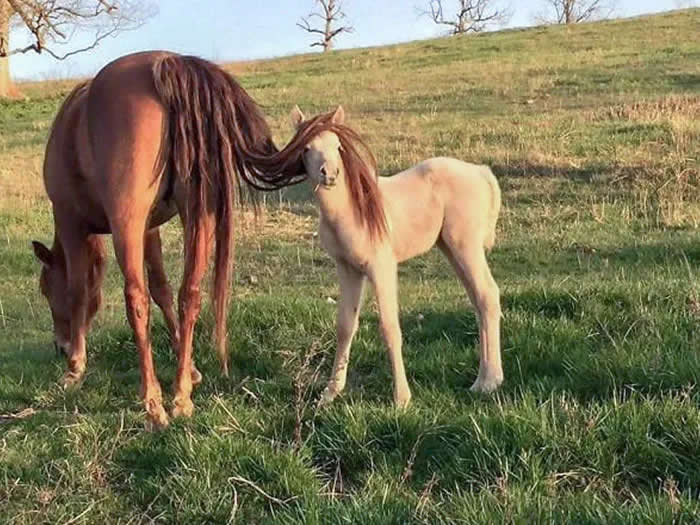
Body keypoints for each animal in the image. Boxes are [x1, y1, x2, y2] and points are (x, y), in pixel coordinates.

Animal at [31, 51, 308, 428]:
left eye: (46, 290)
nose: (60, 347)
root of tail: (167, 63)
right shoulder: (150, 229)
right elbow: (162, 289)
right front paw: (189, 367)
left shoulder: (72, 221)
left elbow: (78, 293)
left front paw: (75, 367)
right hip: (197, 213)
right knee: (188, 294)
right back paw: (181, 397)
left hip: (129, 221)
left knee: (136, 298)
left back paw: (153, 401)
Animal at [289, 105, 504, 407]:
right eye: (306, 148)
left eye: (338, 145)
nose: (329, 174)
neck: (351, 210)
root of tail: (481, 172)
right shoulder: (348, 269)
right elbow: (345, 325)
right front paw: (330, 394)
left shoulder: (381, 267)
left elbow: (390, 327)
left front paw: (401, 398)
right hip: (451, 248)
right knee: (478, 300)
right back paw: (484, 379)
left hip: (466, 246)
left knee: (487, 295)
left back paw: (488, 382)